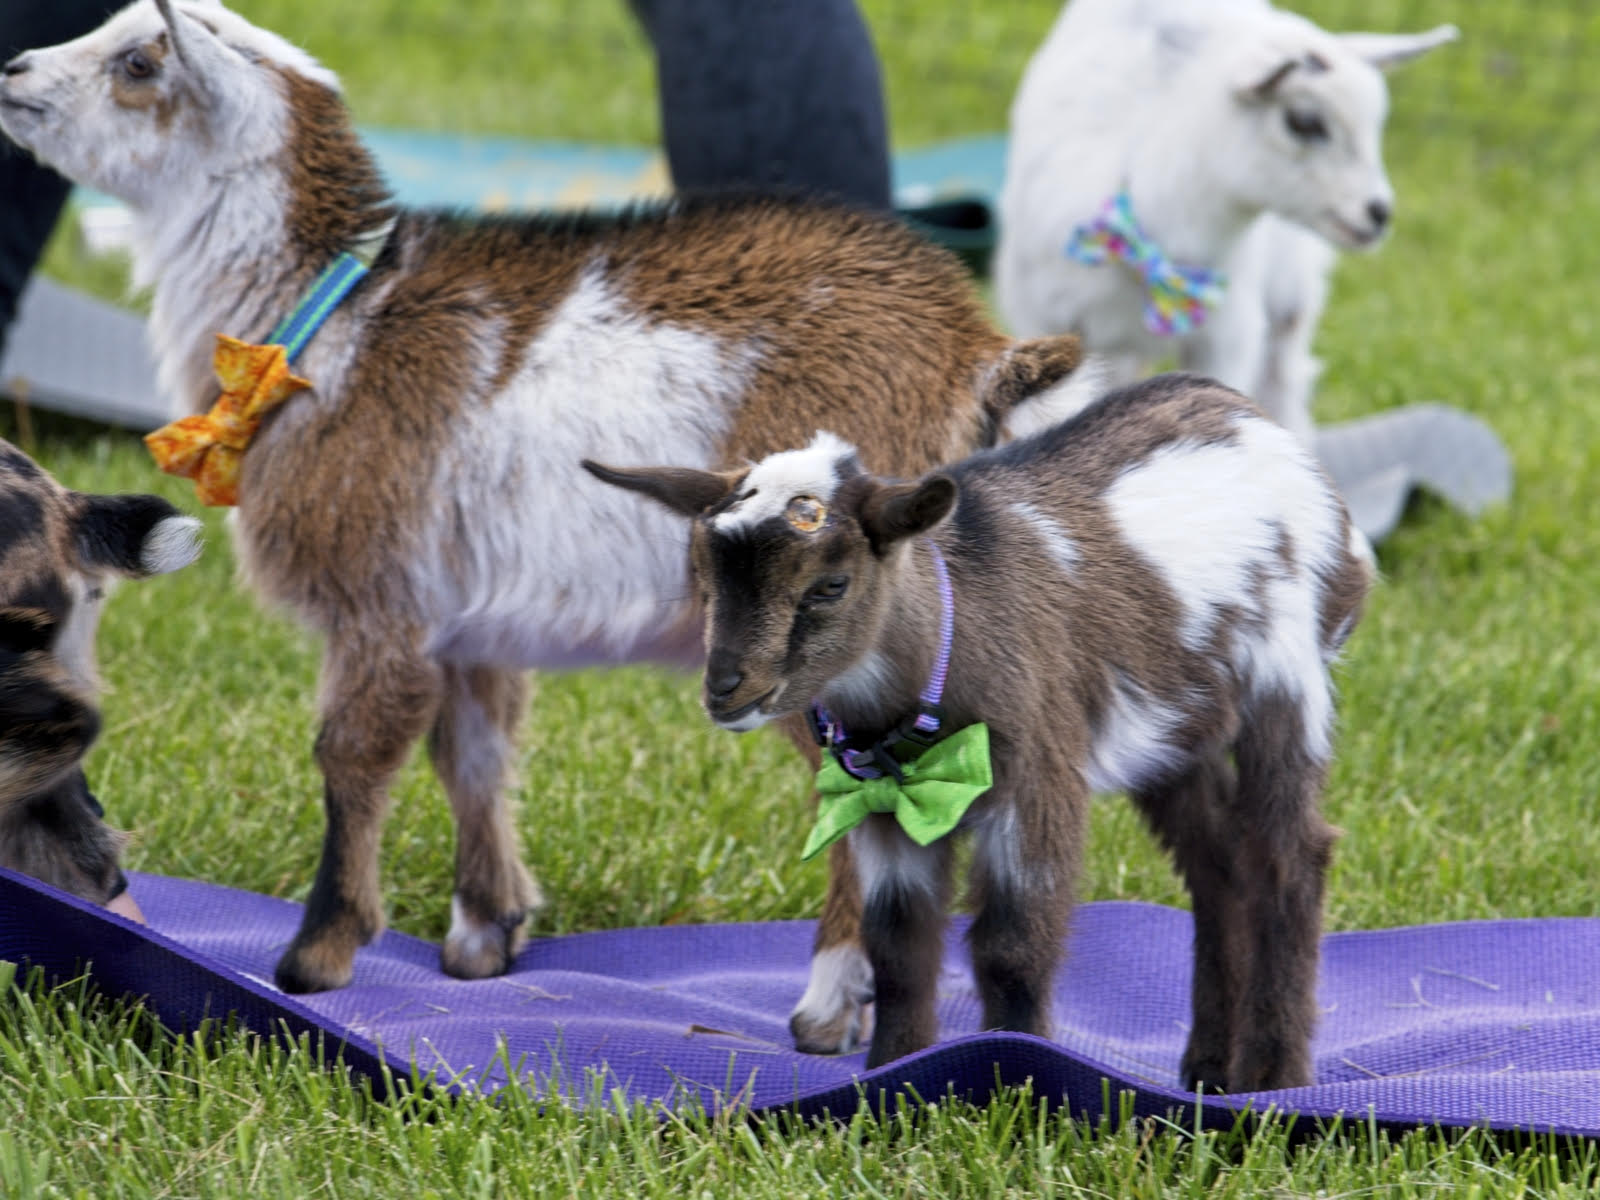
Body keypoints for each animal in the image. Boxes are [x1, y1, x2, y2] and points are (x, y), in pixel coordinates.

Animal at [588, 377, 1376, 1100]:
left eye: (830, 586)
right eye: (704, 577)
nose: (726, 690)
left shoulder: (1036, 782)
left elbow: (1012, 946)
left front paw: (1020, 1073)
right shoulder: (883, 808)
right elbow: (899, 948)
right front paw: (892, 1076)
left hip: (1286, 682)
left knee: (1289, 855)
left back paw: (1274, 1081)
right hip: (1181, 732)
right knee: (1219, 867)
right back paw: (1211, 1075)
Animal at [992, 0, 1459, 448]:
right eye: (1303, 121)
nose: (1377, 213)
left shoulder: (1227, 335)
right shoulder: (1043, 320)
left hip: (1291, 295)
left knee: (1283, 382)